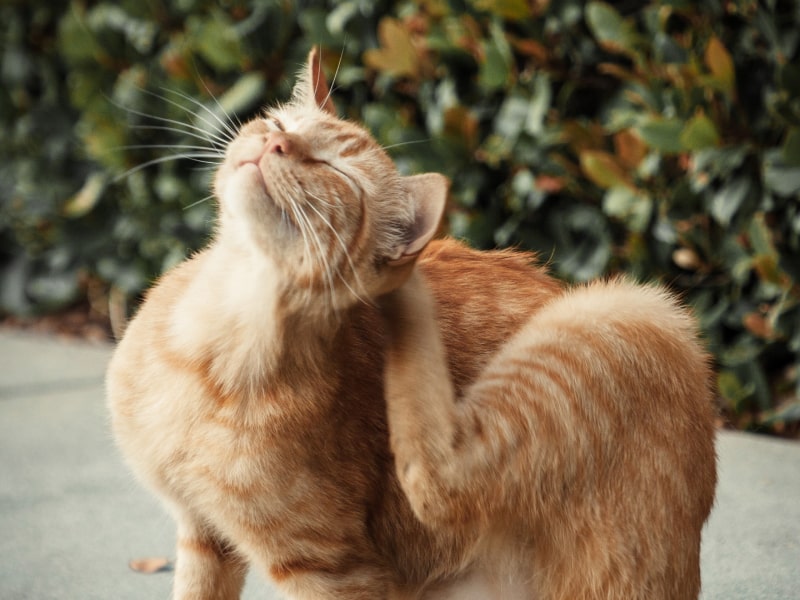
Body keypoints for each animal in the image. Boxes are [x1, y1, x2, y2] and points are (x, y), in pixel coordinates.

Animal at [108, 49, 720, 596]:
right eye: (281, 125)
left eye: (333, 169)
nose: (276, 142)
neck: (208, 347)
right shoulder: (202, 535)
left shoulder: (331, 571)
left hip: (630, 308)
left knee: (438, 480)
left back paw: (409, 289)